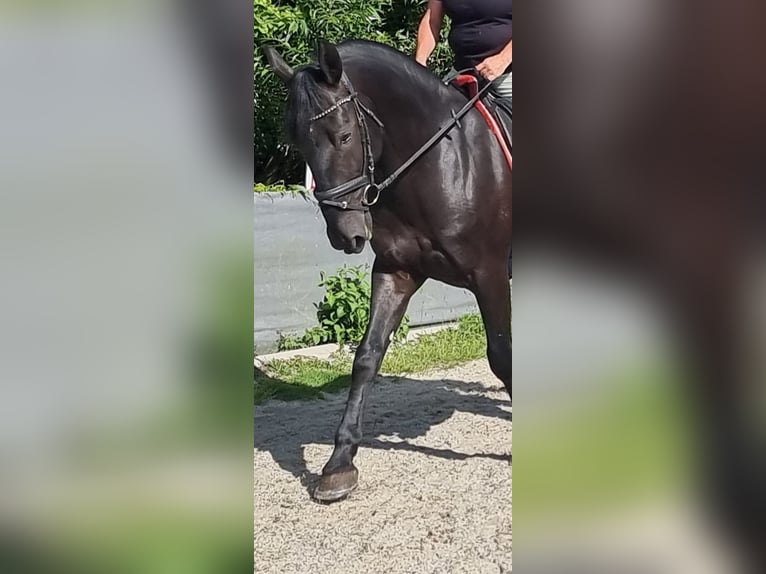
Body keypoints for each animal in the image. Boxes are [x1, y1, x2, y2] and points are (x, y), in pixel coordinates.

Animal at [263, 39, 512, 502]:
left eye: (343, 135)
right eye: (299, 143)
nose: (345, 234)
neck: (439, 164)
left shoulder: (489, 275)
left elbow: (501, 357)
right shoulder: (396, 272)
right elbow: (367, 357)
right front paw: (339, 464)